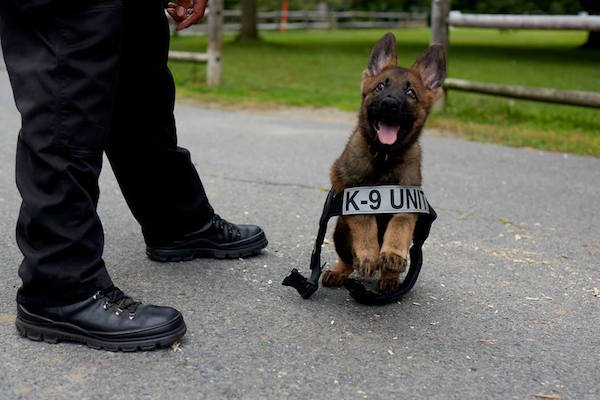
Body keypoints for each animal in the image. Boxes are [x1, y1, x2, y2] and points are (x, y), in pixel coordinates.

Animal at [324, 32, 446, 292]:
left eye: (411, 93)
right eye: (380, 87)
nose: (389, 103)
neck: (384, 157)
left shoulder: (408, 200)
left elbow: (399, 226)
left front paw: (392, 254)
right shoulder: (352, 193)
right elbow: (365, 223)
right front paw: (369, 254)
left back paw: (389, 276)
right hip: (340, 230)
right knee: (348, 259)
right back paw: (340, 270)